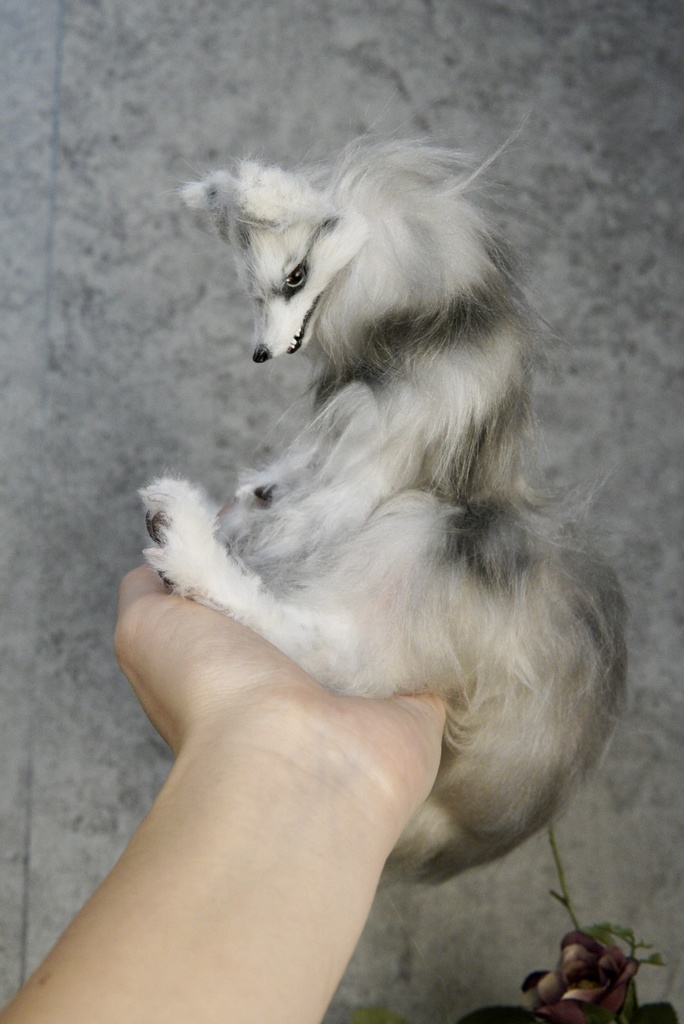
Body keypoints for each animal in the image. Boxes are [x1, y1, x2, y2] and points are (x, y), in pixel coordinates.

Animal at [140, 140, 626, 880]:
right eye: (251, 291)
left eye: (296, 276)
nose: (260, 353)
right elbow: (295, 481)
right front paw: (258, 502)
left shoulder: (383, 465)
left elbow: (317, 515)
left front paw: (255, 526)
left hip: (416, 543)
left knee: (325, 651)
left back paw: (187, 542)